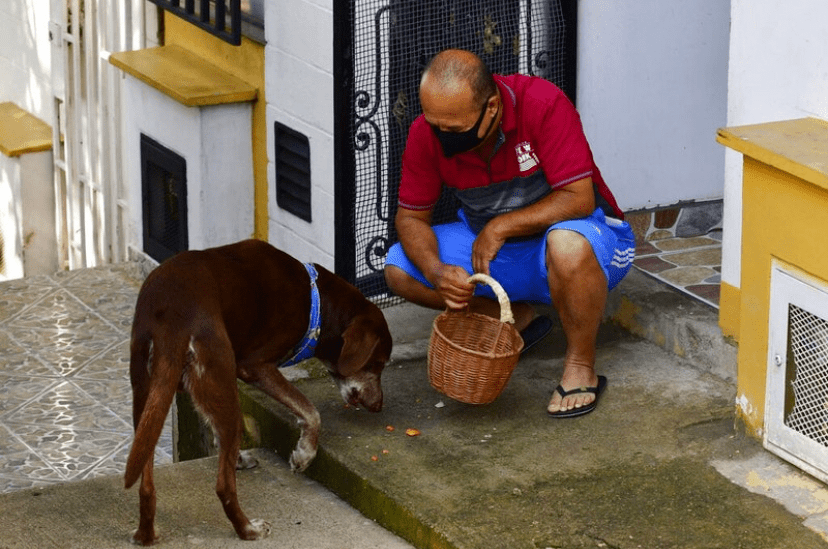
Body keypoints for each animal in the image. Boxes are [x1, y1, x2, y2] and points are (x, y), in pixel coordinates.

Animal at [124, 240, 392, 544]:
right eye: (379, 363)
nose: (378, 405)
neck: (316, 302)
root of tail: (172, 321)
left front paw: (239, 458)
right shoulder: (255, 366)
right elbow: (310, 411)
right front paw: (304, 454)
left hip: (147, 398)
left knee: (146, 483)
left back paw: (146, 535)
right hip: (222, 388)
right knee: (223, 486)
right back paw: (248, 530)